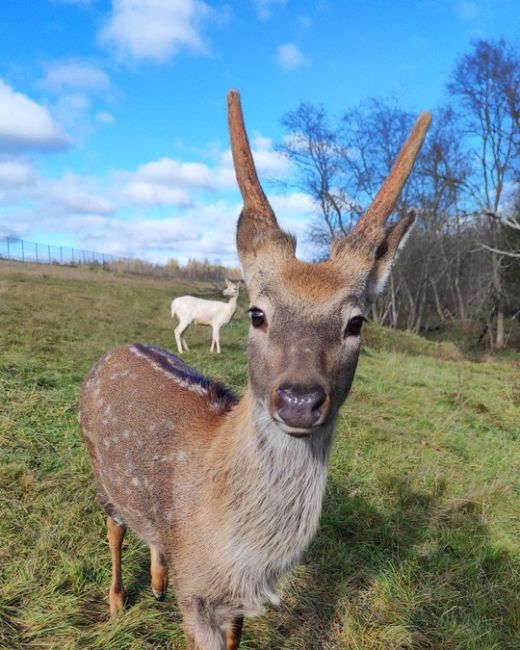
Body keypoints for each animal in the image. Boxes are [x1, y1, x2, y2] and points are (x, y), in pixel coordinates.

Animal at [78, 87, 430, 648]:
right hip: (99, 469)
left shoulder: (239, 600)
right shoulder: (197, 597)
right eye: (257, 313)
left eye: (357, 322)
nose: (299, 399)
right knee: (113, 527)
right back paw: (116, 603)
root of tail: (111, 353)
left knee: (151, 535)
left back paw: (156, 582)